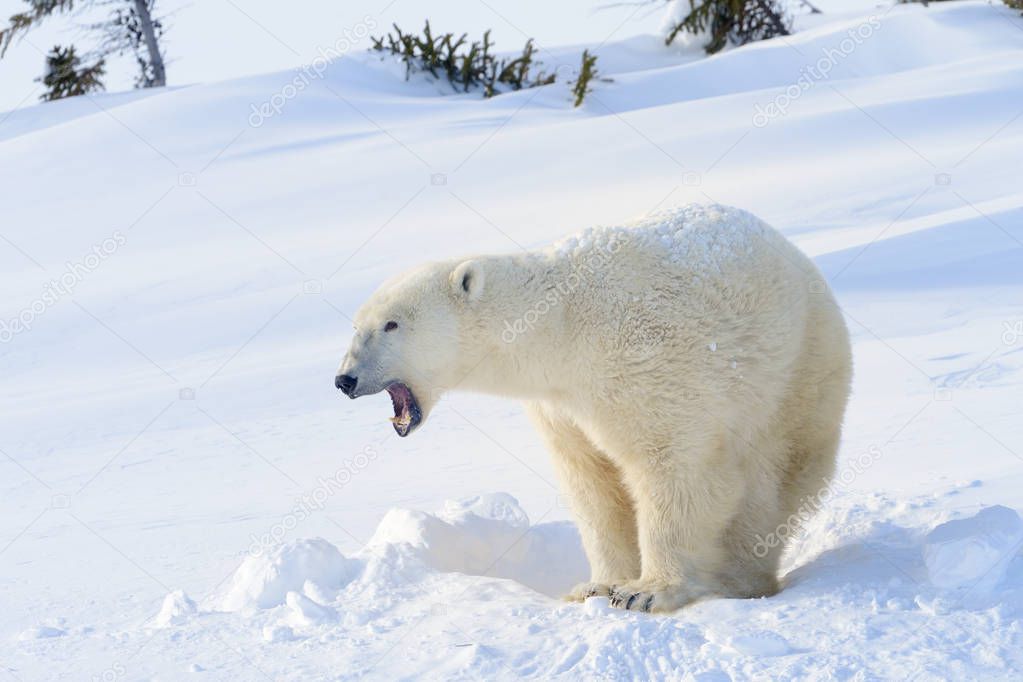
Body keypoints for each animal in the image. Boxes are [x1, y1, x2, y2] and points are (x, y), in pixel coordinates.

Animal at [337, 202, 855, 613]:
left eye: (392, 324)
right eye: (357, 326)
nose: (345, 379)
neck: (562, 331)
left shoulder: (646, 368)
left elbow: (675, 470)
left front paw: (647, 591)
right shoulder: (560, 407)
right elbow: (592, 483)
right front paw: (595, 586)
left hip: (796, 377)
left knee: (767, 484)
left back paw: (740, 578)